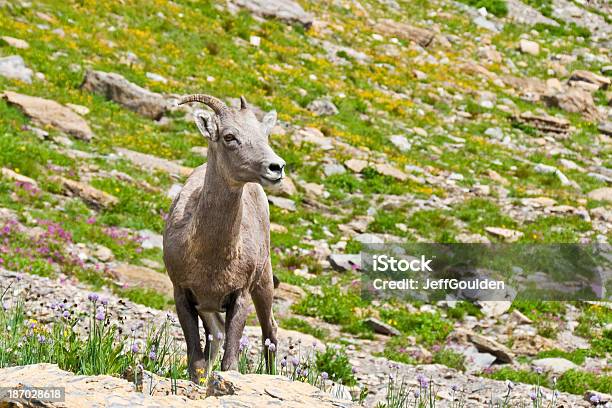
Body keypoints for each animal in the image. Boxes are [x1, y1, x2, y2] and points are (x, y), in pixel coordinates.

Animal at [163, 94, 286, 380]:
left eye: (265, 134)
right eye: (229, 136)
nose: (276, 168)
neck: (211, 258)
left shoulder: (239, 297)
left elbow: (230, 364)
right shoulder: (183, 295)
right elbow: (197, 363)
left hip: (263, 283)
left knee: (270, 331)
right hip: (209, 309)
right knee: (218, 335)